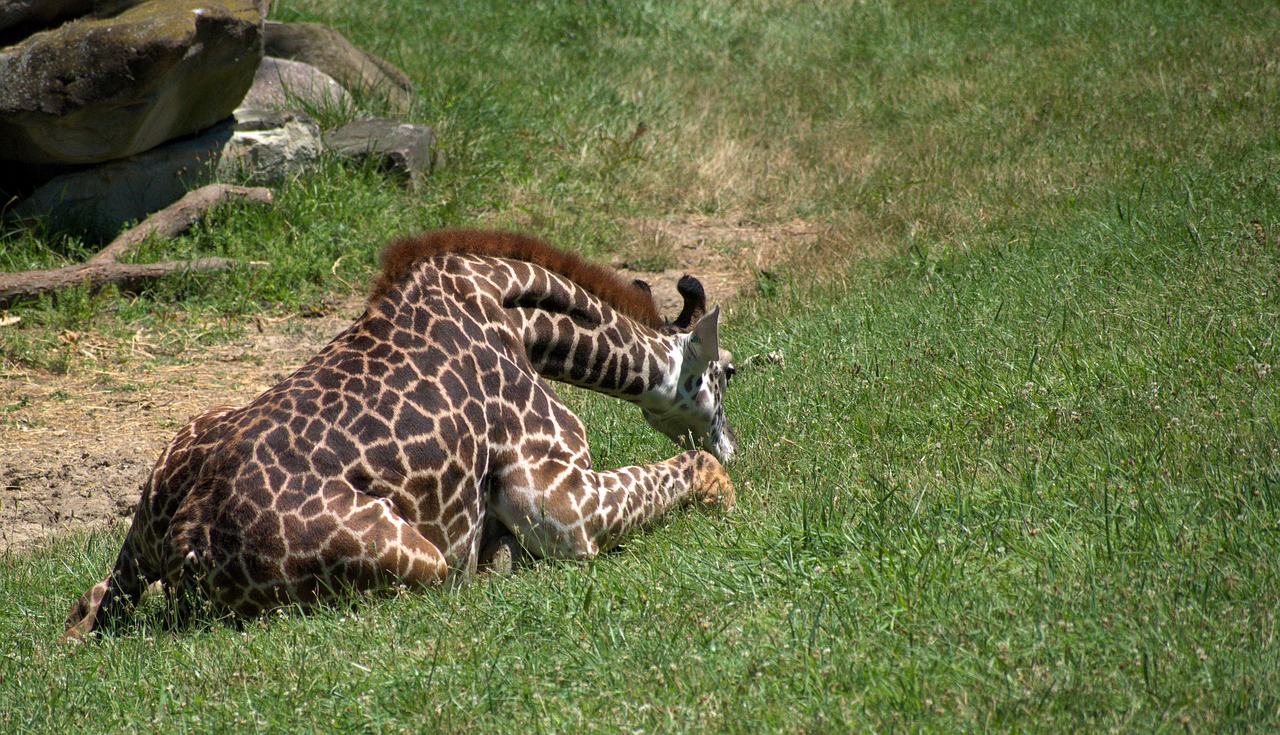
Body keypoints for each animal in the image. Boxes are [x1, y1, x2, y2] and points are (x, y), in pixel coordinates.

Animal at [62, 229, 742, 640]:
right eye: (729, 371)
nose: (730, 443)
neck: (513, 314)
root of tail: (187, 538)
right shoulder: (563, 504)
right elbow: (682, 476)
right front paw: (729, 494)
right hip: (422, 565)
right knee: (449, 585)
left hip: (146, 517)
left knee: (91, 603)